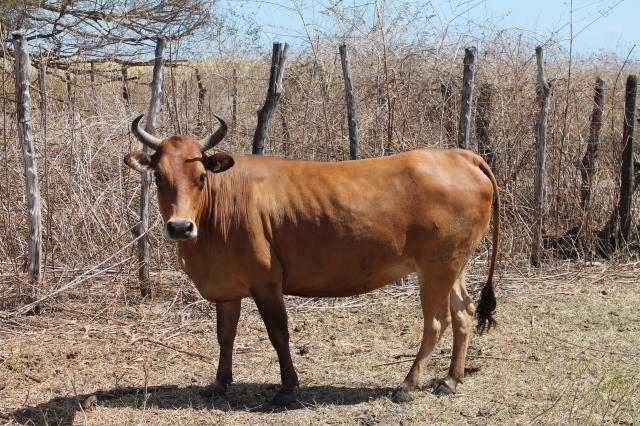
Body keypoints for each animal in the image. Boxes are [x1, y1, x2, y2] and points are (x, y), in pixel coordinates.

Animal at [122, 114, 498, 406]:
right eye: (158, 176)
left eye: (201, 176)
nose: (180, 226)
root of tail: (458, 155)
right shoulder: (227, 288)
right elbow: (225, 335)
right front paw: (218, 383)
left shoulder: (266, 282)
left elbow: (279, 334)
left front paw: (288, 389)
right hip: (453, 264)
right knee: (463, 312)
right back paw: (451, 379)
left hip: (436, 267)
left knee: (435, 323)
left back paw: (407, 385)